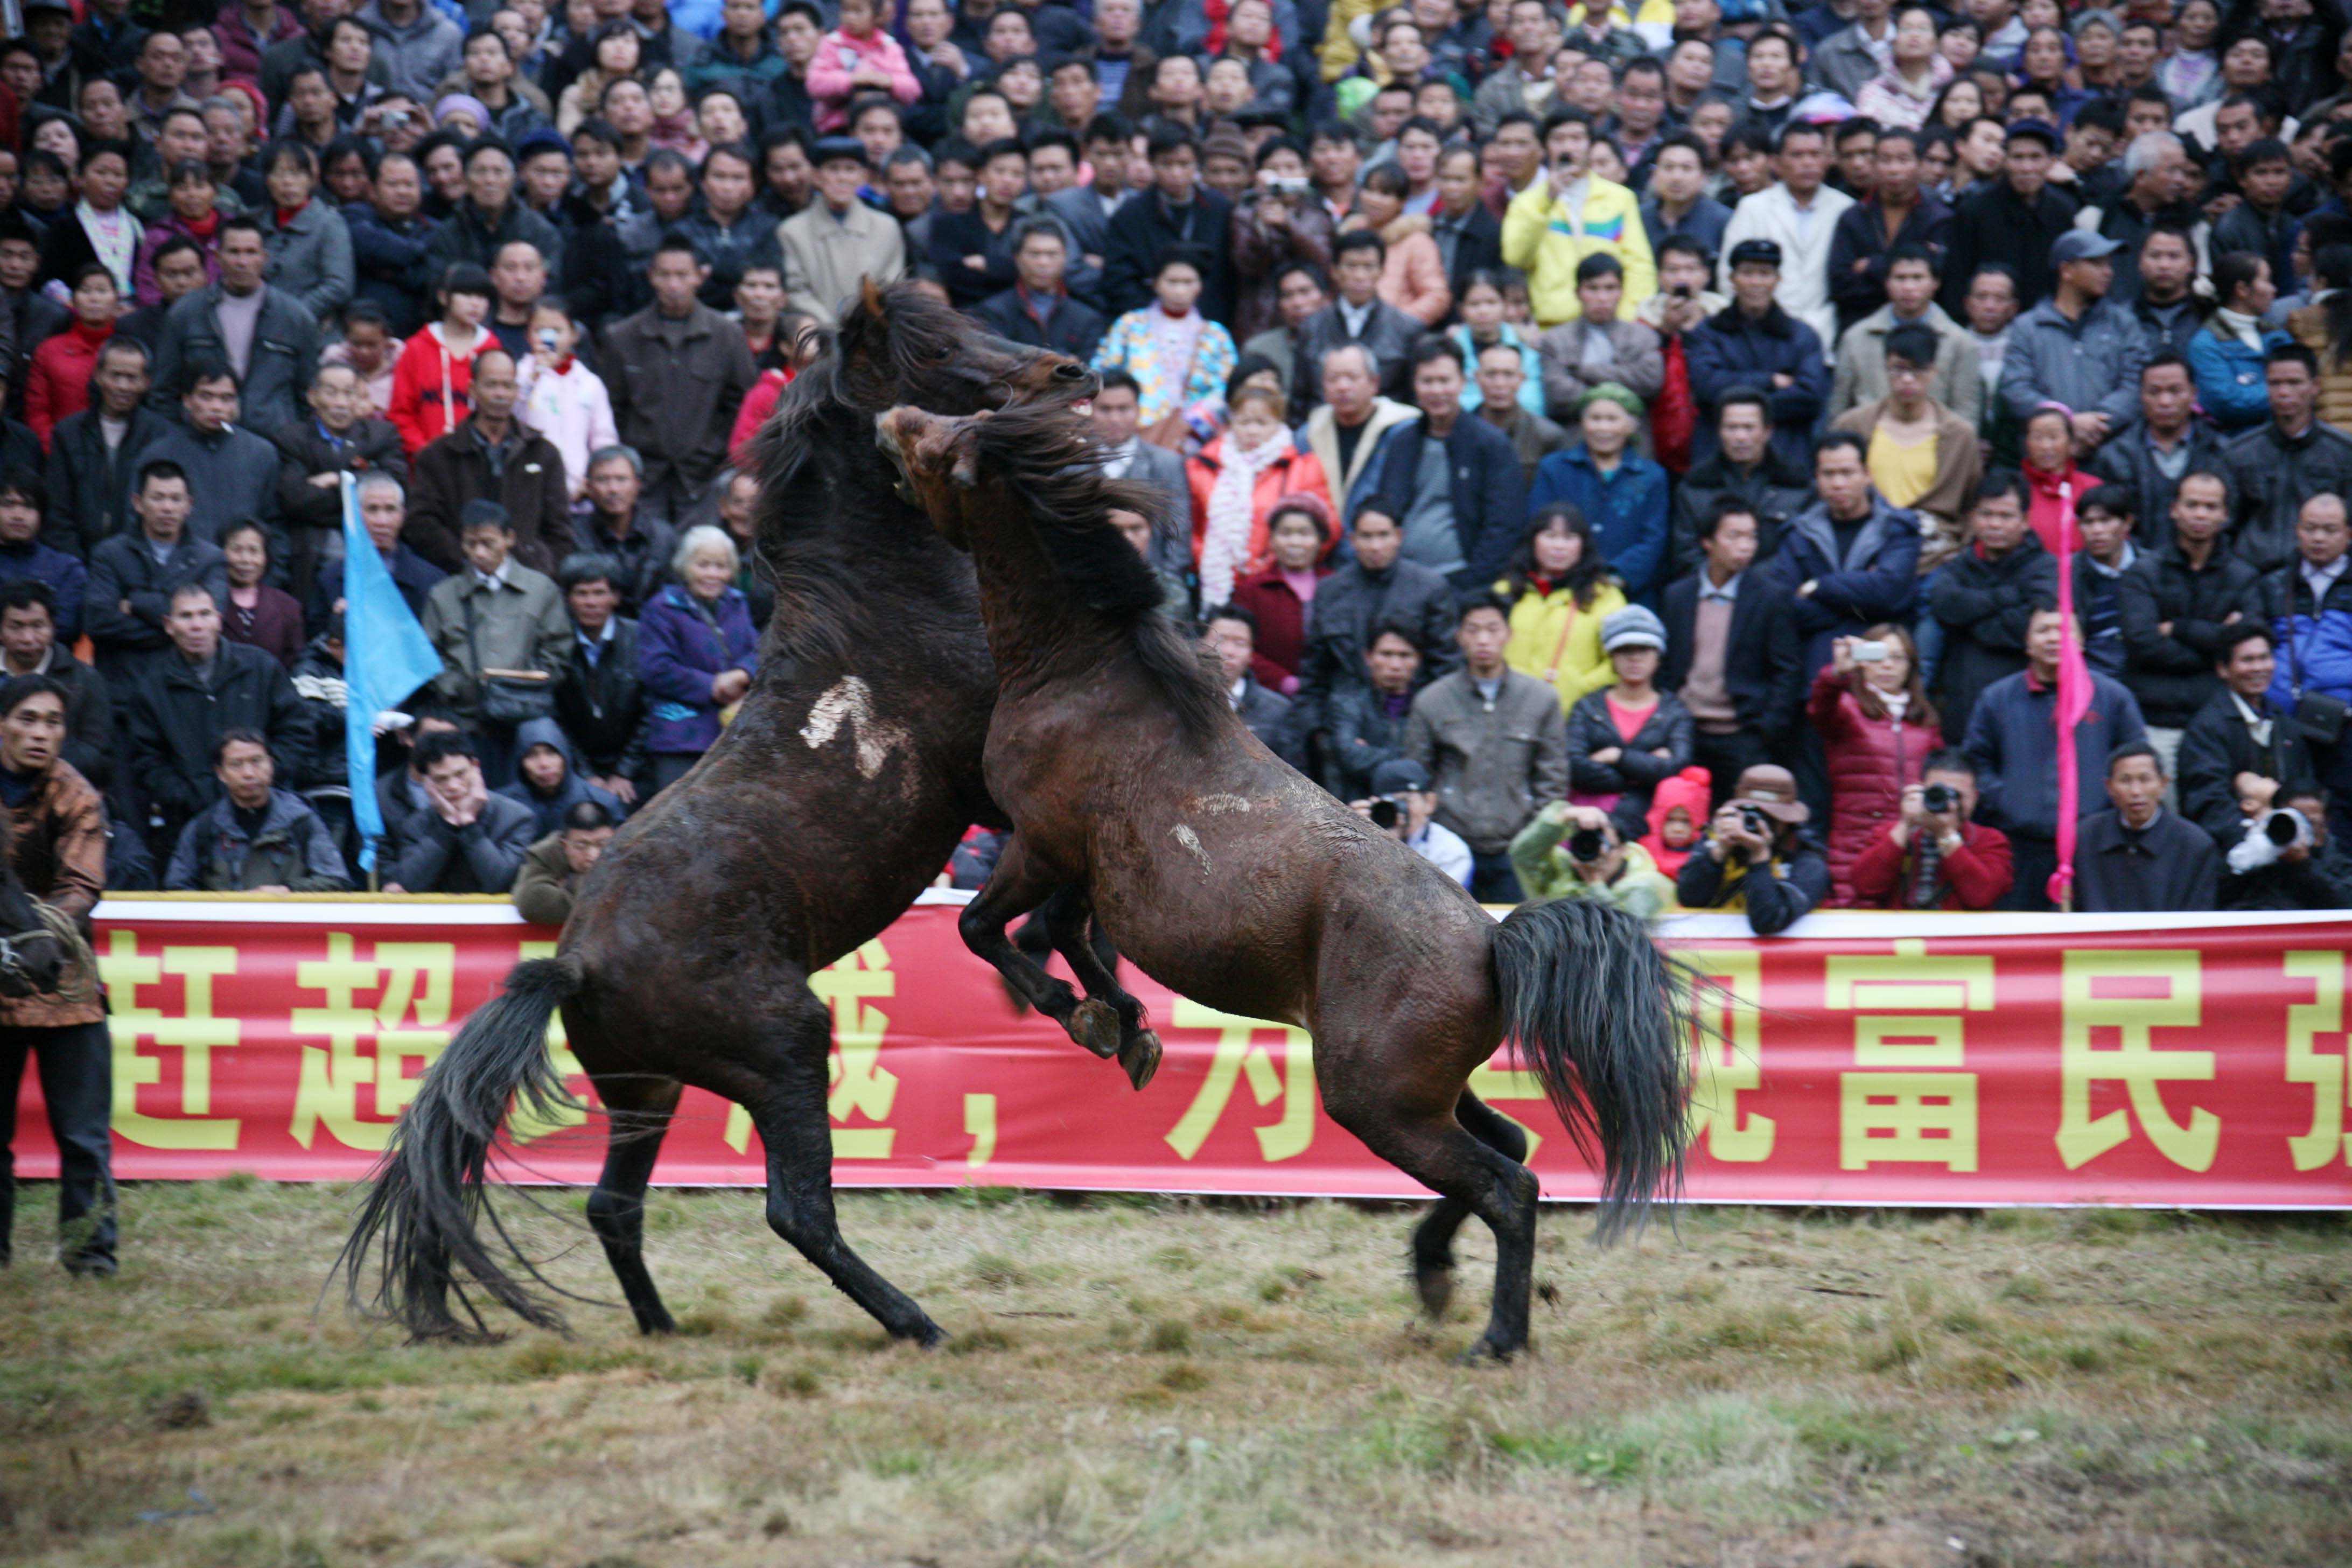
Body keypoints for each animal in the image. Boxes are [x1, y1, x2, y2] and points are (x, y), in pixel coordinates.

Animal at [334, 282, 1129, 1354]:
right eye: (935, 352)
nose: (1069, 371)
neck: (885, 603)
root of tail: (574, 963)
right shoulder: (997, 790)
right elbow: (1038, 898)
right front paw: (1078, 998)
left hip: (648, 1090)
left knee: (614, 1204)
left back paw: (662, 1324)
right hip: (785, 1042)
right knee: (797, 1209)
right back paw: (913, 1321)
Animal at [884, 404, 1693, 1363]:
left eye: (945, 445)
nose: (892, 417)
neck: (1086, 679)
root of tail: (1496, 940)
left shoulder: (1038, 846)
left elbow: (985, 931)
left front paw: (1082, 1018)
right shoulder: (1085, 871)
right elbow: (1073, 938)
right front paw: (1127, 1028)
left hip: (1379, 1100)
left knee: (1510, 1186)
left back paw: (1495, 1336)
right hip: (1427, 1095)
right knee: (1510, 1144)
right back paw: (1432, 1274)